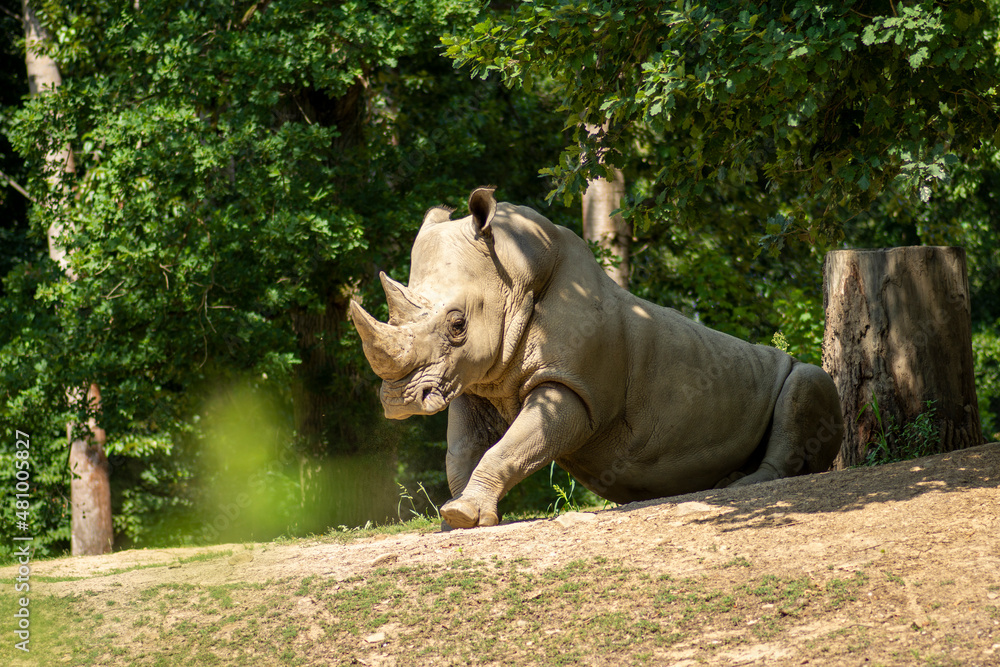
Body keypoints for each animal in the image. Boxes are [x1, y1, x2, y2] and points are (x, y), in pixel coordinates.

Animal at [350, 187, 844, 529]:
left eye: (457, 324)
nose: (398, 402)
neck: (513, 274)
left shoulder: (571, 388)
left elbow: (512, 445)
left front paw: (461, 516)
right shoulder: (473, 377)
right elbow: (462, 449)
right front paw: (458, 519)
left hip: (800, 374)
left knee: (807, 381)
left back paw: (738, 486)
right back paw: (723, 481)